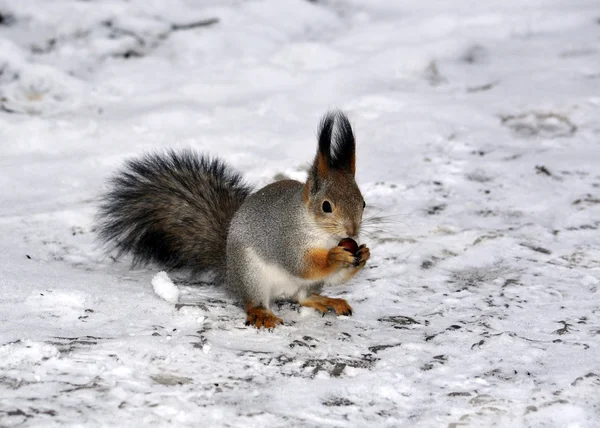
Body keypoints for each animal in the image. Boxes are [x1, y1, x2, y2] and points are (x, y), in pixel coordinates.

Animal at [98, 110, 368, 328]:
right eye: (326, 206)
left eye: (363, 203)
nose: (352, 232)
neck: (322, 234)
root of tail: (230, 272)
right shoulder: (285, 238)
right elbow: (303, 265)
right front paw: (335, 257)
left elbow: (333, 275)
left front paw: (363, 254)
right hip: (252, 274)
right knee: (253, 302)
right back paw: (262, 314)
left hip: (303, 285)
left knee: (302, 297)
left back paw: (327, 300)